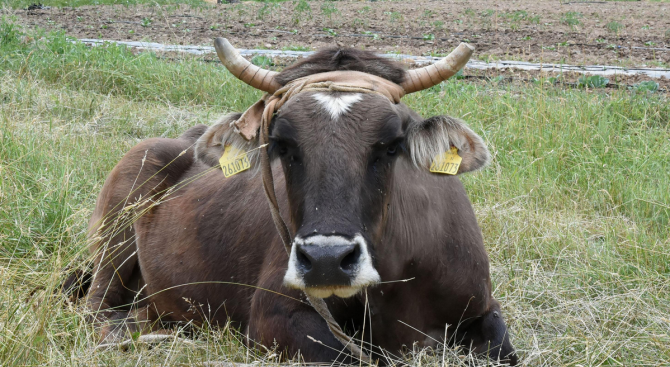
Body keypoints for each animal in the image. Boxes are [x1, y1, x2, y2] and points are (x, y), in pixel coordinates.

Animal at [77, 37, 520, 366]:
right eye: (283, 145)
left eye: (391, 145)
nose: (326, 260)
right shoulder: (274, 316)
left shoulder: (482, 306)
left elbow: (502, 349)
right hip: (115, 237)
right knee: (97, 313)